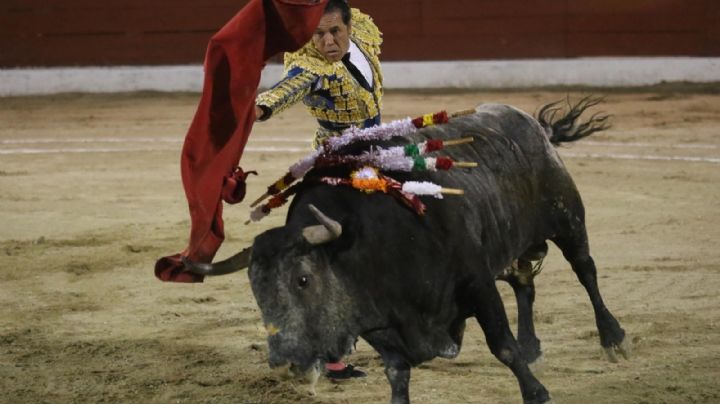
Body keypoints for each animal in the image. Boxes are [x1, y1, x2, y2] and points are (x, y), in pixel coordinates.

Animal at [183, 99, 628, 402]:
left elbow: (501, 345)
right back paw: (533, 345)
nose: (286, 363)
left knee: (585, 270)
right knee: (524, 283)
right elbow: (397, 373)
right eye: (255, 291)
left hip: (567, 217)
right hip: (508, 242)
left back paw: (612, 339)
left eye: (303, 279)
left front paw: (537, 393)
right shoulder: (379, 322)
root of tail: (533, 125)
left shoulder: (477, 282)